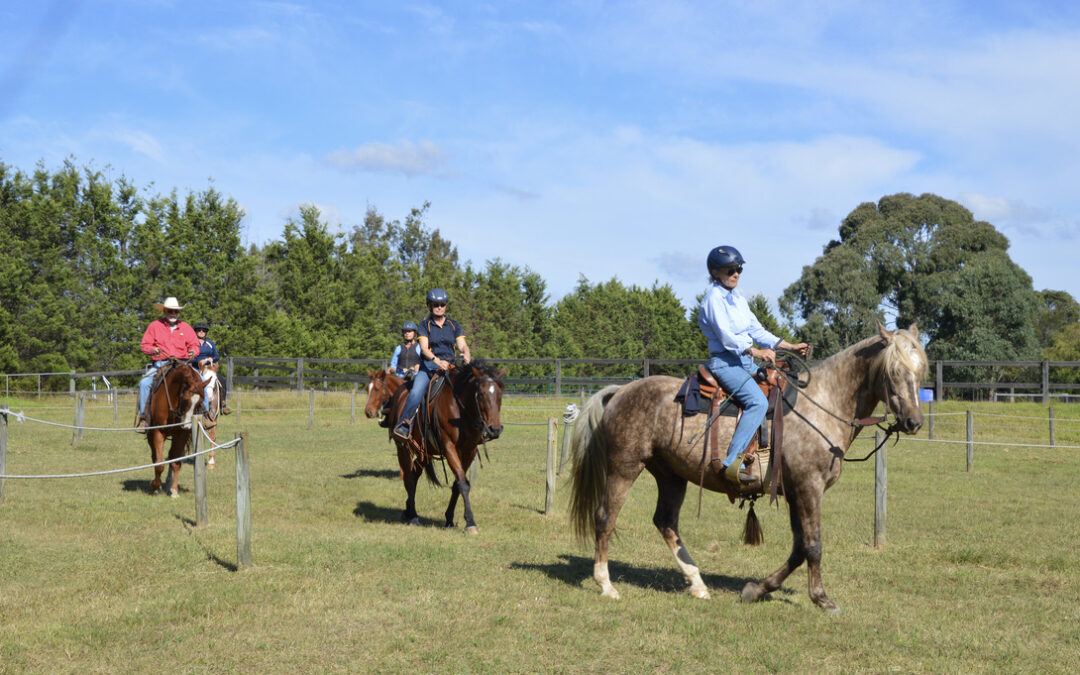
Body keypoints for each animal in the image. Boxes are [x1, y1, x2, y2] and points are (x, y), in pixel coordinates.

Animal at [145, 358, 204, 494]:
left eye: (200, 401)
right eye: (185, 398)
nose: (187, 426)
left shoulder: (182, 435)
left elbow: (176, 462)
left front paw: (174, 490)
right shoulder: (158, 432)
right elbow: (159, 464)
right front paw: (155, 486)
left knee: (171, 456)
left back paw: (168, 483)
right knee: (155, 457)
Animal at [388, 360, 505, 533]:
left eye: (500, 394)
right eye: (481, 394)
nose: (494, 429)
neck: (460, 410)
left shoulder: (469, 450)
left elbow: (458, 484)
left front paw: (449, 519)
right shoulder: (449, 447)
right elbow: (462, 483)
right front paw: (470, 522)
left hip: (424, 451)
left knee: (414, 473)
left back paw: (408, 510)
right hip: (403, 448)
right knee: (408, 477)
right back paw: (414, 517)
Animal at [565, 321, 928, 609]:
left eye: (920, 370)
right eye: (894, 372)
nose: (914, 422)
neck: (821, 405)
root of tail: (621, 390)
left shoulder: (794, 491)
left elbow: (798, 547)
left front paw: (757, 589)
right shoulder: (809, 487)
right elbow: (813, 545)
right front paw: (822, 598)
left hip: (671, 475)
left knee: (665, 522)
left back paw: (697, 583)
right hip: (624, 468)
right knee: (605, 517)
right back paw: (606, 584)